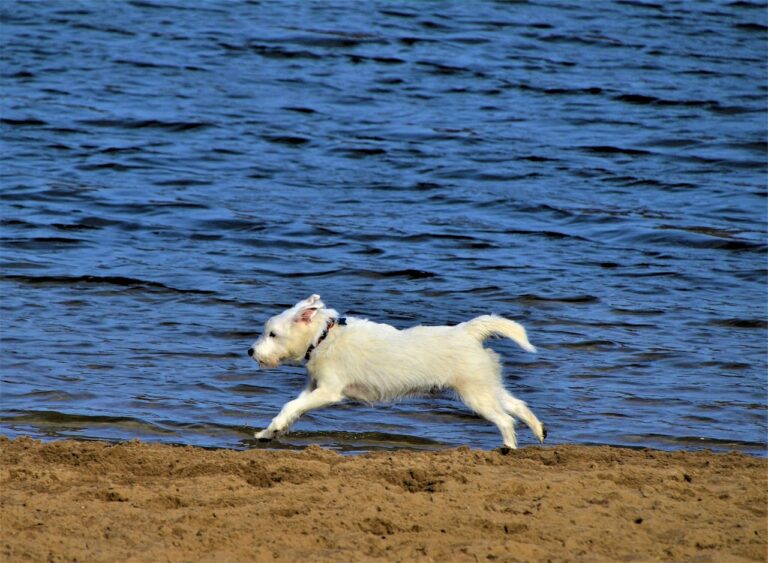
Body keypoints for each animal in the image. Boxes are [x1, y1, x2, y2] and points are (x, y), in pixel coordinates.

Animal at [248, 296, 544, 450]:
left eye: (272, 334)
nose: (251, 351)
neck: (323, 338)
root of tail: (468, 332)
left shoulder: (328, 391)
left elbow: (290, 406)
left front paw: (272, 430)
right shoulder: (312, 388)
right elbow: (292, 409)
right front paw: (269, 432)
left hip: (475, 394)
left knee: (505, 420)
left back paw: (508, 448)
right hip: (486, 386)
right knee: (517, 405)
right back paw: (539, 431)